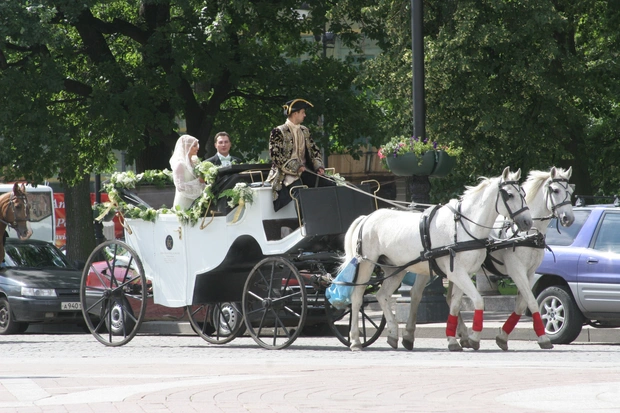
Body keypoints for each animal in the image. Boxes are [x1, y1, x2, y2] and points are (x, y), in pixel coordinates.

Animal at [344, 166, 532, 350]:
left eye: (523, 193)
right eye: (510, 195)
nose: (527, 222)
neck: (463, 226)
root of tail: (367, 218)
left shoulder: (464, 274)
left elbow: (455, 304)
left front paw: (454, 339)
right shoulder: (457, 273)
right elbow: (478, 301)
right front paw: (472, 338)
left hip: (395, 268)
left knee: (382, 295)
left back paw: (393, 334)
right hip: (366, 264)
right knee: (357, 298)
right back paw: (355, 340)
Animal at [446, 166, 576, 350]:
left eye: (570, 191)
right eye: (556, 190)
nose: (568, 218)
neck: (526, 234)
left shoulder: (530, 273)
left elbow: (522, 304)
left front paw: (503, 336)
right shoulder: (517, 271)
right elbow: (532, 301)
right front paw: (544, 338)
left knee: (451, 299)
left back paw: (462, 335)